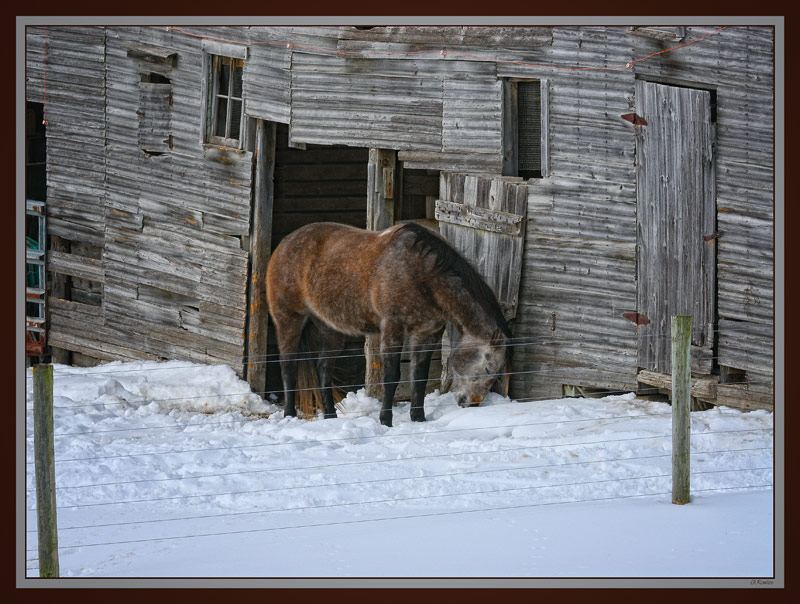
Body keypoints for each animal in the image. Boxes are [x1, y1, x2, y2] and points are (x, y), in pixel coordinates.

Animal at [264, 219, 512, 428]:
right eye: (488, 368)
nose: (471, 403)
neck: (420, 272)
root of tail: (285, 243)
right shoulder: (393, 328)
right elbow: (391, 376)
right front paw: (386, 420)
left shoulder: (428, 333)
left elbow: (419, 376)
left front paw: (418, 418)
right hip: (289, 319)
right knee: (288, 366)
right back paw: (289, 415)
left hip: (330, 328)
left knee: (323, 368)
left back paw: (330, 417)